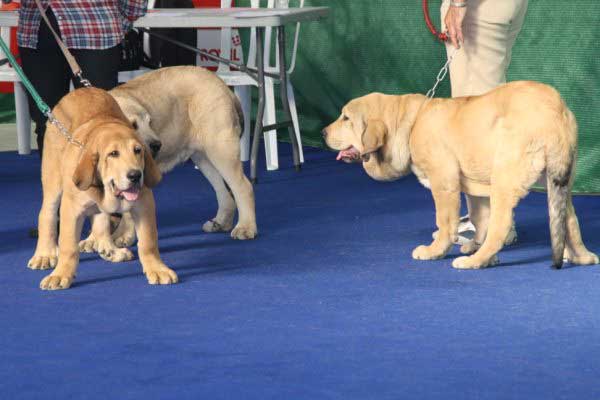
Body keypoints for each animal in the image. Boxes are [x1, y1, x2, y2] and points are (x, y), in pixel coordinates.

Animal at [28, 87, 178, 290]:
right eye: (113, 154)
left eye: (138, 151)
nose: (135, 175)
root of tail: (80, 90)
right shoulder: (70, 209)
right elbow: (68, 246)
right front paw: (61, 275)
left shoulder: (145, 204)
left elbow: (148, 242)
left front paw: (157, 269)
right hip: (53, 180)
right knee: (47, 213)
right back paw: (44, 254)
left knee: (101, 221)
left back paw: (110, 250)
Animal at [77, 66, 255, 260]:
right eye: (132, 125)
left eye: (150, 123)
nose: (157, 145)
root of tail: (223, 85)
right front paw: (93, 239)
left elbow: (128, 211)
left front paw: (122, 236)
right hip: (203, 157)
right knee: (222, 190)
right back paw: (221, 222)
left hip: (220, 149)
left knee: (242, 187)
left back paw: (245, 227)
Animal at [326, 80, 596, 268]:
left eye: (346, 118)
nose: (322, 132)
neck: (411, 123)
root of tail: (555, 111)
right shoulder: (476, 189)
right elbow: (480, 218)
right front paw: (475, 246)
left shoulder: (444, 183)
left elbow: (446, 224)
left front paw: (435, 251)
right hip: (558, 185)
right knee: (569, 222)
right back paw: (582, 257)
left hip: (504, 179)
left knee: (500, 227)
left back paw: (475, 262)